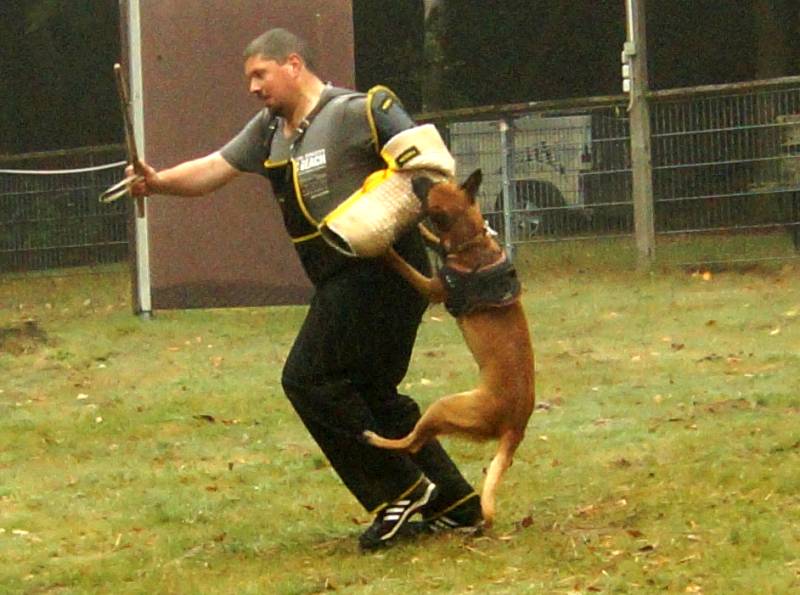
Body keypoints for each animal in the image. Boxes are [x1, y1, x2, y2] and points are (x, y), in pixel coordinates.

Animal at [364, 169, 535, 528]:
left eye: (430, 189)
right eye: (437, 183)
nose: (416, 177)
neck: (472, 243)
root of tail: (516, 426)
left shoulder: (432, 287)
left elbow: (407, 268)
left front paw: (387, 251)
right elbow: (435, 240)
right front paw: (424, 233)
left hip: (444, 406)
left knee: (412, 445)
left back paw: (375, 439)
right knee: (417, 443)